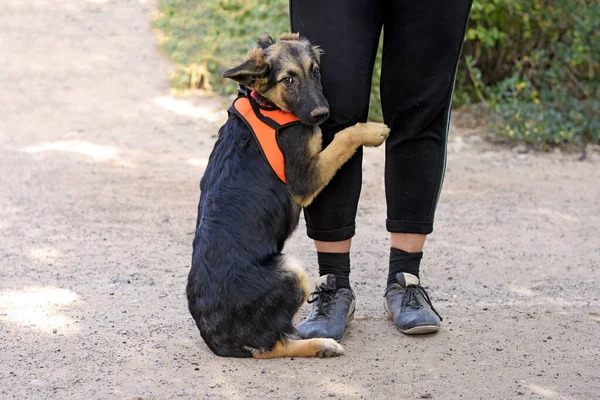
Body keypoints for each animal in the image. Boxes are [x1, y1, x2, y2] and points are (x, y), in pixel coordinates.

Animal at [188, 33, 390, 360]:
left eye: (316, 72)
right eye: (288, 79)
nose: (321, 114)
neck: (266, 105)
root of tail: (215, 338)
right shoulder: (304, 179)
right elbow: (342, 138)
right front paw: (370, 131)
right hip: (292, 270)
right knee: (271, 346)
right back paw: (321, 345)